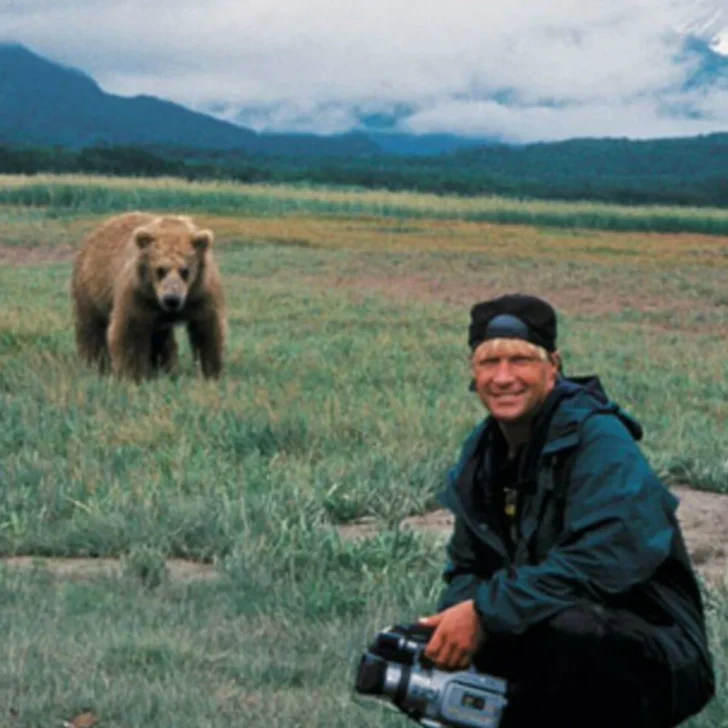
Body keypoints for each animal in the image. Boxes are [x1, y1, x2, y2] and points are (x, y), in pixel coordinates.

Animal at [71, 211, 227, 382]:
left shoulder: (201, 294)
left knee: (161, 339)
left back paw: (164, 367)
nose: (172, 299)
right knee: (91, 327)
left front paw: (211, 372)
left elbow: (207, 331)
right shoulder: (138, 294)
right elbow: (130, 332)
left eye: (185, 270)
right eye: (160, 270)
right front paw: (132, 375)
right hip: (91, 289)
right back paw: (95, 363)